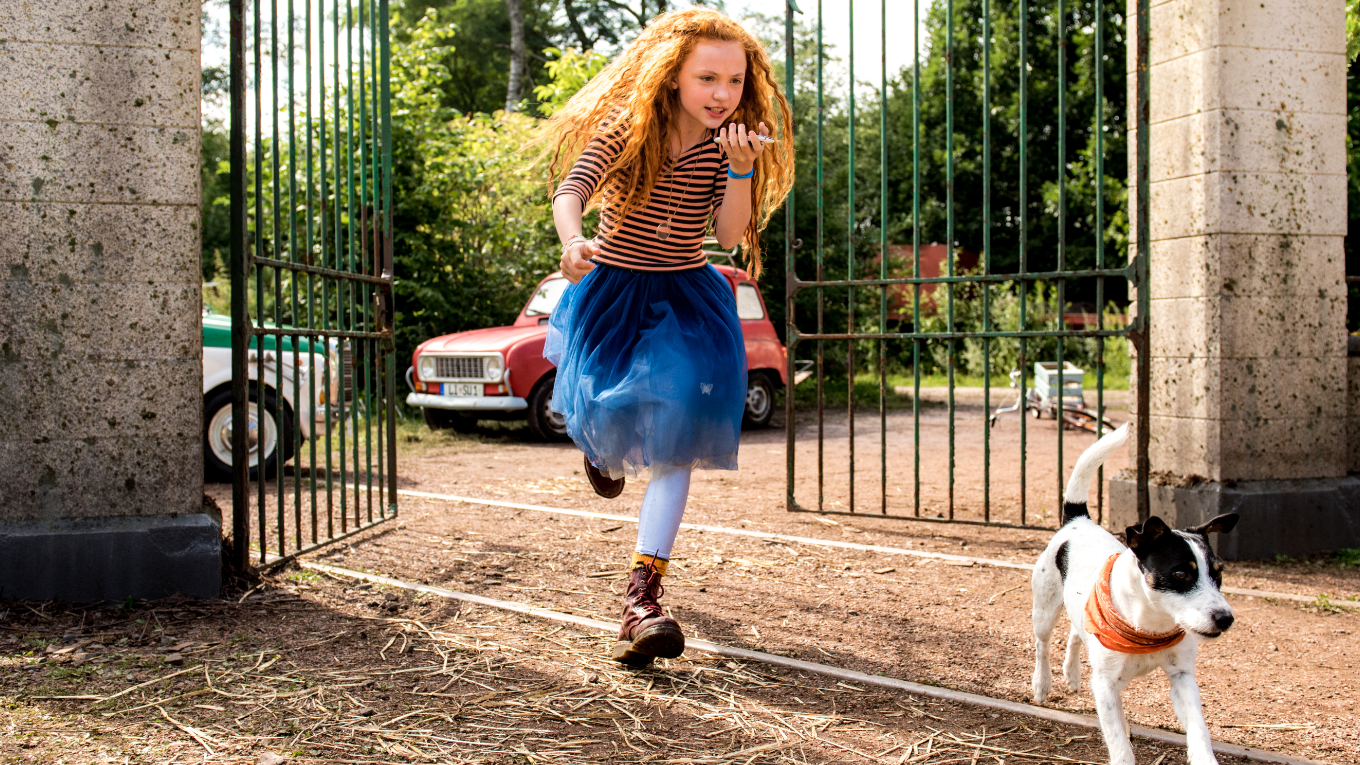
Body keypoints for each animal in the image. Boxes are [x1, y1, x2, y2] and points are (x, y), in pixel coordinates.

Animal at [1028, 421, 1245, 762]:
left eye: (1218, 573)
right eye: (1180, 573)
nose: (1225, 618)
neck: (1150, 626)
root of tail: (1078, 520)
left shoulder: (1182, 677)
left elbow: (1199, 729)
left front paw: (1204, 757)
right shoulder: (1106, 687)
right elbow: (1120, 745)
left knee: (1076, 633)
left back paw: (1072, 674)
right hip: (1045, 609)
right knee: (1043, 644)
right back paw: (1042, 683)